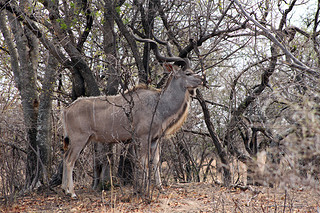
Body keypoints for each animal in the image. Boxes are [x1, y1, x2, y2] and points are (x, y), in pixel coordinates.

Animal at [61, 36, 204, 198]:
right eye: (188, 73)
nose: (202, 79)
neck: (158, 103)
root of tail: (66, 110)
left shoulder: (155, 139)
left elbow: (156, 161)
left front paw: (160, 188)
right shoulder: (143, 137)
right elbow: (144, 162)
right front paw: (144, 189)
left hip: (80, 140)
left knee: (65, 157)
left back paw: (64, 189)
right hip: (80, 138)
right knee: (69, 160)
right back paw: (72, 193)